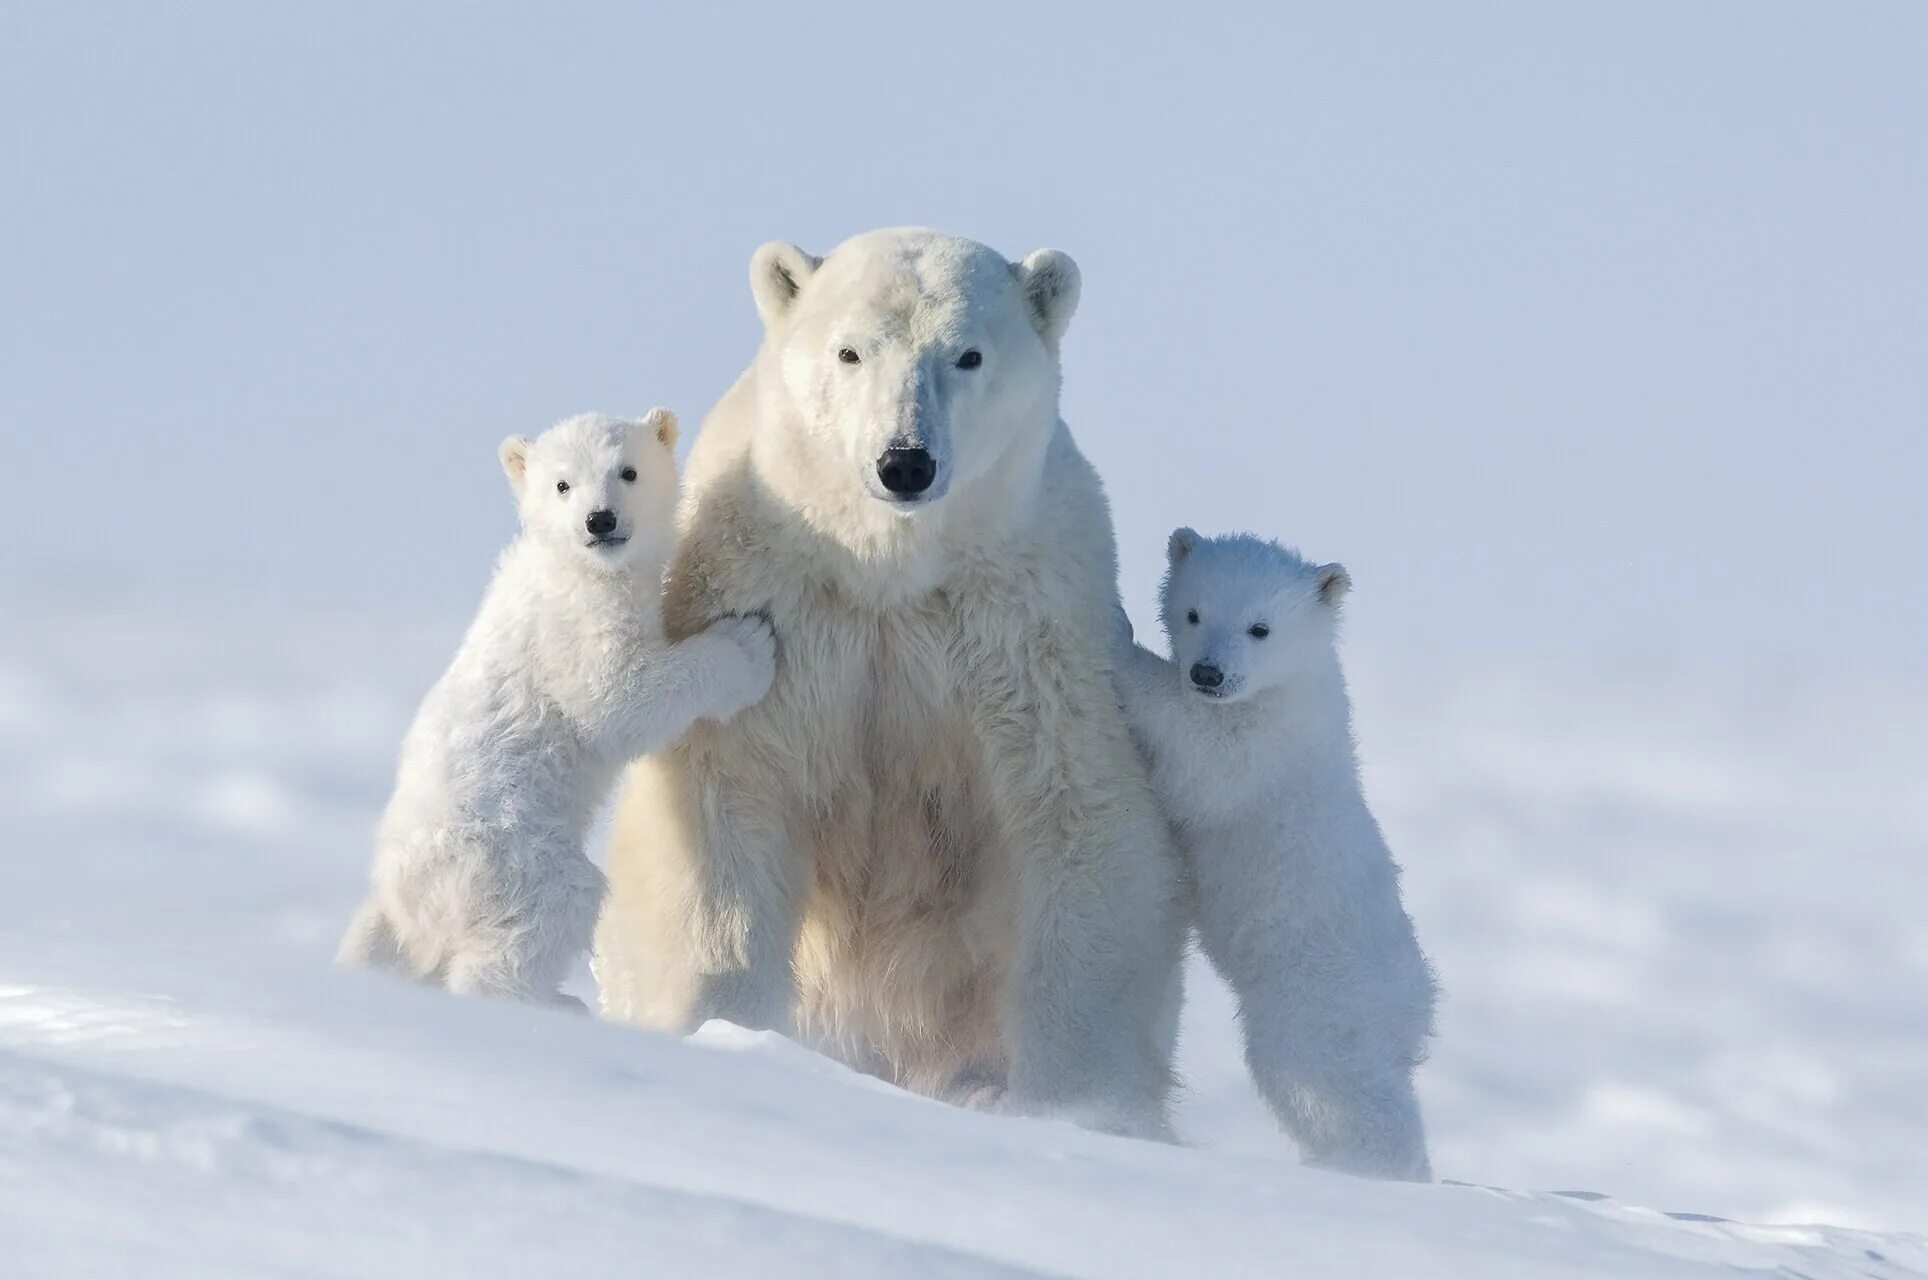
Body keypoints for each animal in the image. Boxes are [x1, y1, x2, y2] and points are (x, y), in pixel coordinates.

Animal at [339, 410, 775, 1010]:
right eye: (563, 484)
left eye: (628, 471)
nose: (600, 520)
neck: (572, 566)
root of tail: (406, 900)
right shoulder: (574, 626)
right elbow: (618, 700)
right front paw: (748, 645)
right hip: (507, 855)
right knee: (552, 908)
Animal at [593, 230, 1179, 1141]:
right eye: (850, 351)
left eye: (968, 354)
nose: (905, 462)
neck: (887, 572)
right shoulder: (779, 608)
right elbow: (726, 806)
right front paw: (723, 1030)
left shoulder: (1024, 631)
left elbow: (1078, 820)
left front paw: (1083, 1106)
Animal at [1110, 528, 1442, 1179]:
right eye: (1194, 612)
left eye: (1259, 627)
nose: (1208, 673)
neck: (1292, 687)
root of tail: (1415, 1000)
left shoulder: (1265, 746)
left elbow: (1205, 760)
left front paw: (1116, 638)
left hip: (1317, 994)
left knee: (1318, 1075)